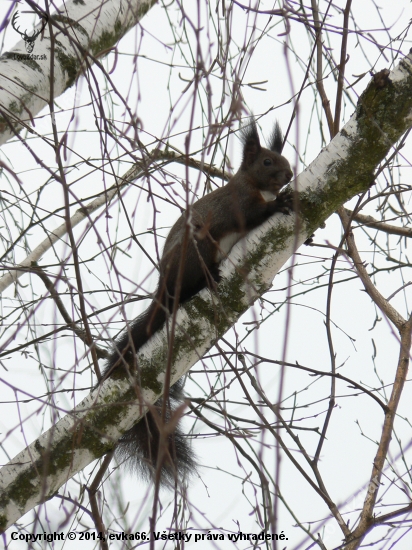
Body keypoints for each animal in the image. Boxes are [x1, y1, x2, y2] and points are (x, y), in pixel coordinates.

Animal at [101, 119, 292, 488]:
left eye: (285, 158)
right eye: (266, 162)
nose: (289, 175)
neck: (254, 187)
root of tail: (163, 287)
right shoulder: (239, 205)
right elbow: (256, 214)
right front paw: (280, 203)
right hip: (197, 247)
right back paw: (207, 280)